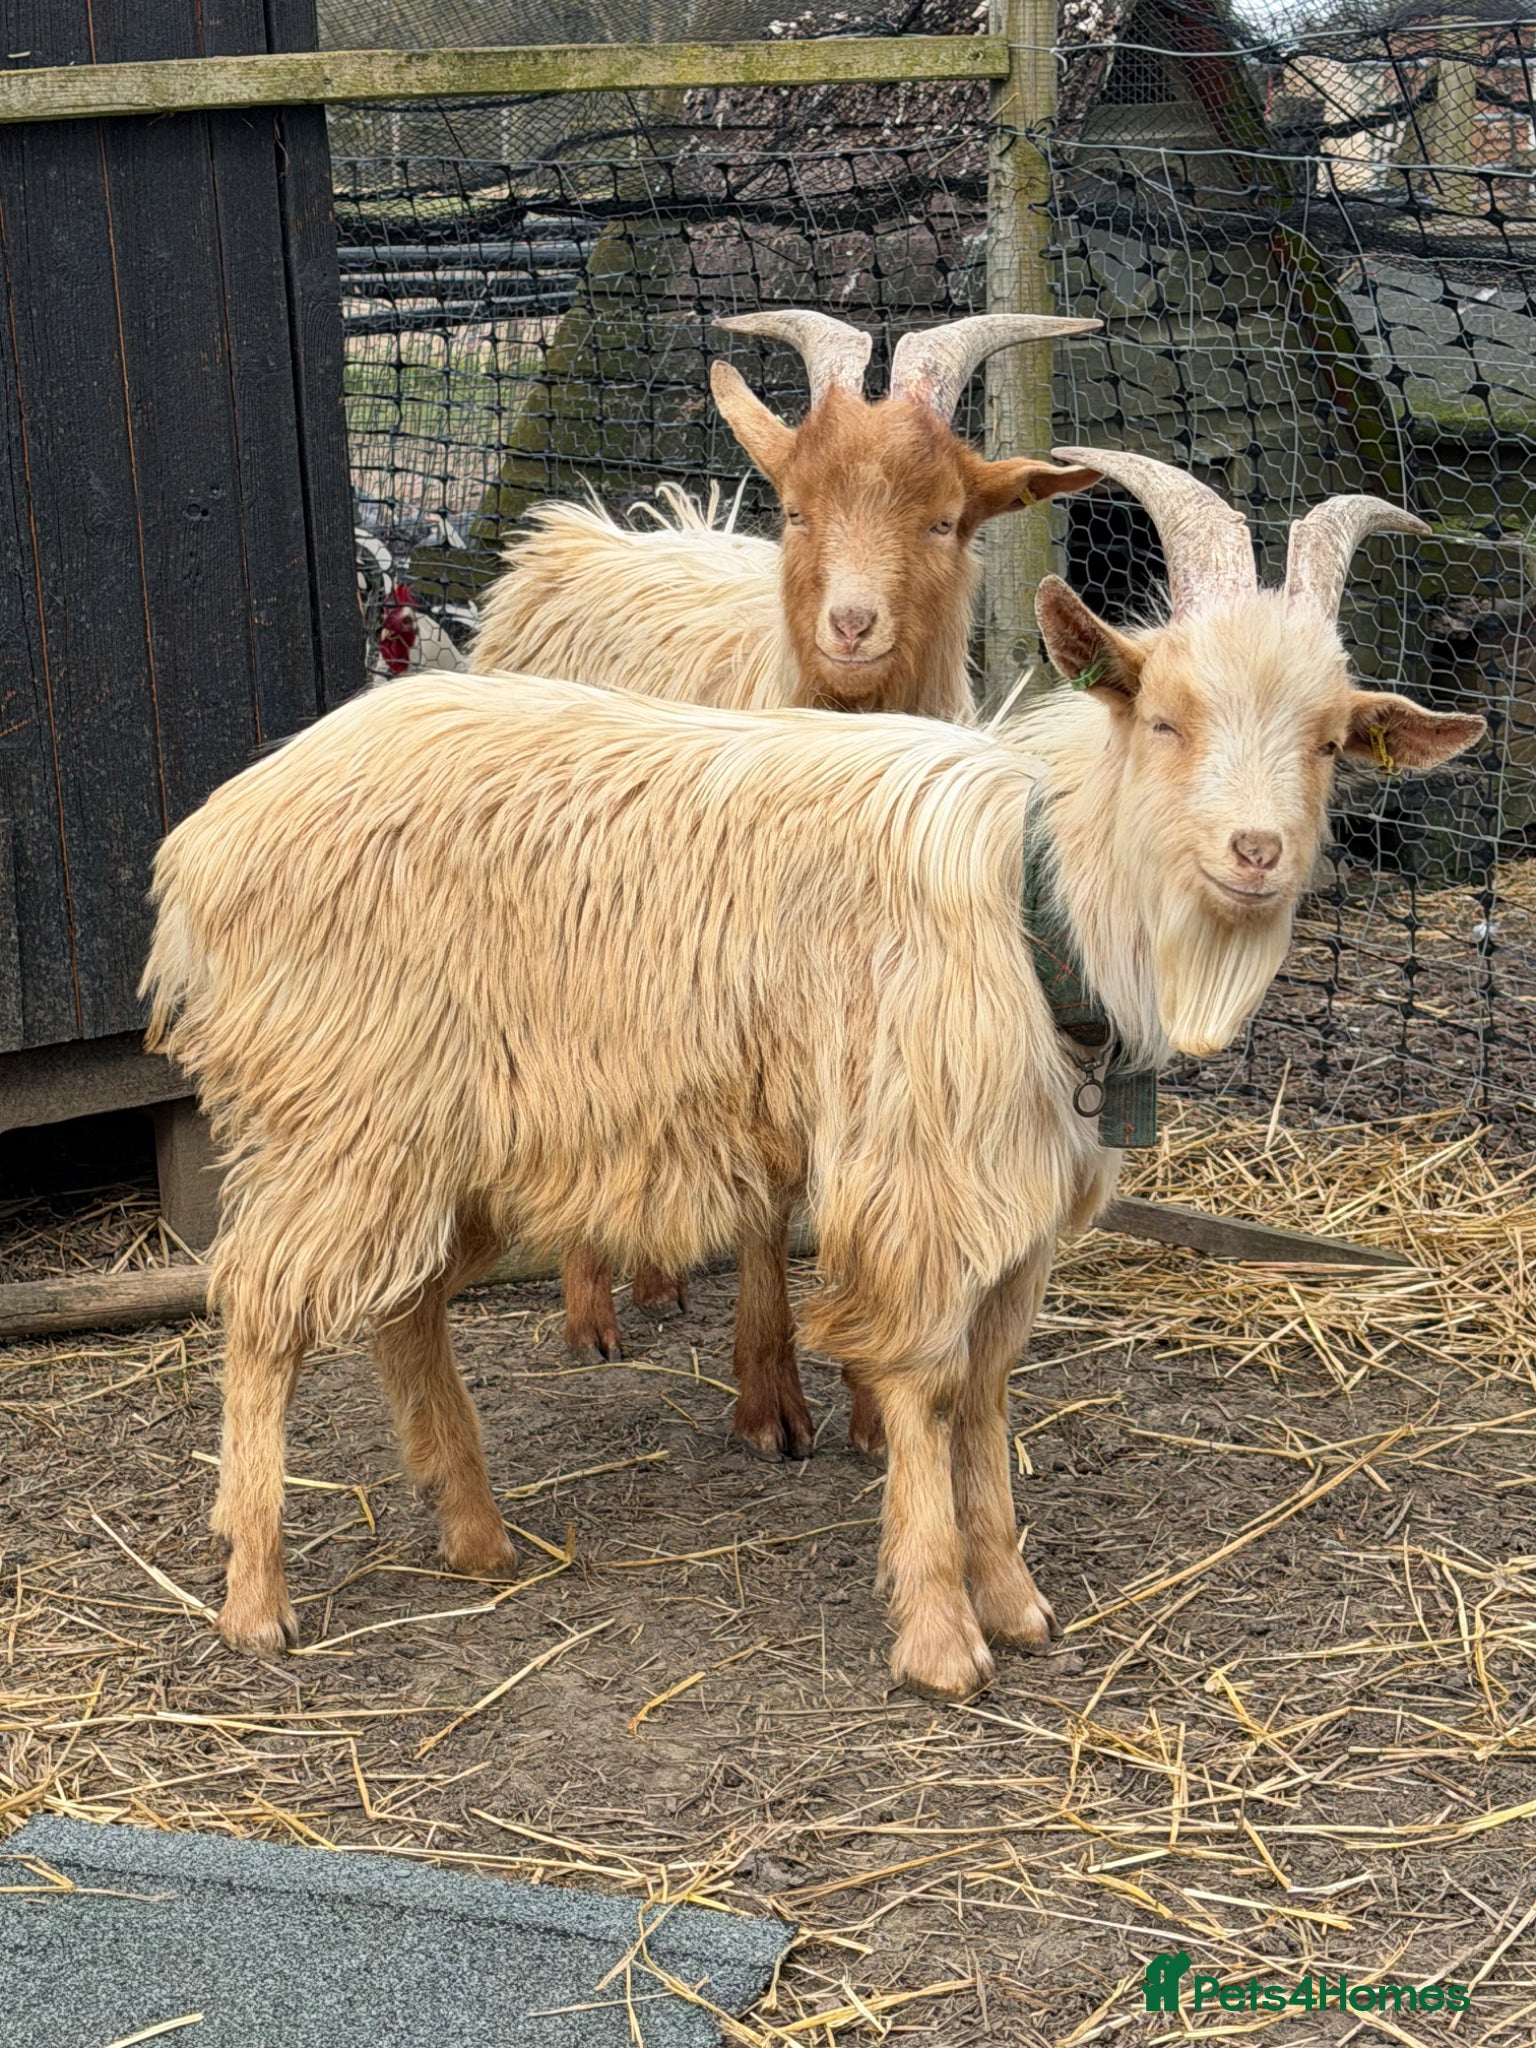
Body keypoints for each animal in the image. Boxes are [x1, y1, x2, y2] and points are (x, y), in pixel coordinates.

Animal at [144, 452, 1481, 1694]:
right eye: (1163, 712)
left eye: (1329, 740)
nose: (1256, 853)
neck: (1033, 893)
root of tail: (206, 843)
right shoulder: (922, 1180)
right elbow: (924, 1383)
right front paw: (940, 1634)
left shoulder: (1023, 1205)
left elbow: (989, 1394)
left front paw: (1016, 1598)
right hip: (343, 1110)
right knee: (259, 1304)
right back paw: (255, 1592)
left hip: (439, 1138)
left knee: (404, 1304)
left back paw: (475, 1534)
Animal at [472, 310, 1101, 1458]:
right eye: (799, 507)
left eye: (946, 520)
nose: (851, 624)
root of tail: (591, 535)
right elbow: (768, 1192)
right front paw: (770, 1400)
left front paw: (869, 1407)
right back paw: (591, 1311)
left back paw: (659, 1277)